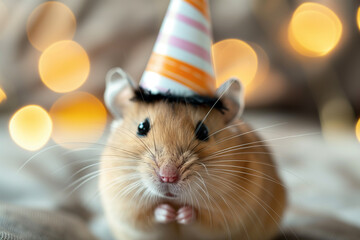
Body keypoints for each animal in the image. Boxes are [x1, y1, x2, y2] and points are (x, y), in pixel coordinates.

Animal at [100, 68, 286, 240]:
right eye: (141, 127)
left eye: (203, 132)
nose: (168, 177)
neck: (174, 201)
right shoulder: (126, 209)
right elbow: (151, 216)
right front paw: (168, 213)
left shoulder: (227, 215)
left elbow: (200, 219)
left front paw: (182, 214)